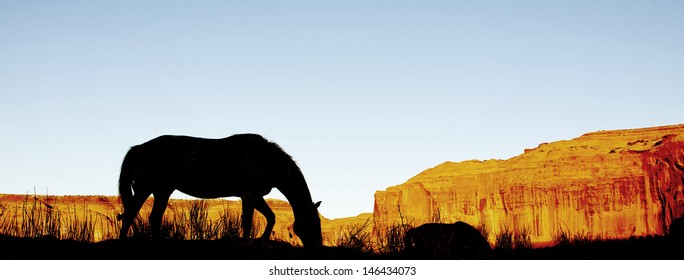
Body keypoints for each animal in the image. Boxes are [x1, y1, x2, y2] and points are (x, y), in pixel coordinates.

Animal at [117, 134, 324, 247]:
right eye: (314, 223)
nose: (318, 246)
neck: (268, 160)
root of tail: (137, 148)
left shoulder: (256, 195)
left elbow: (270, 217)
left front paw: (263, 240)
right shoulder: (249, 194)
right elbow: (248, 221)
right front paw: (247, 242)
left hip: (162, 191)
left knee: (154, 218)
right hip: (145, 189)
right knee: (130, 214)